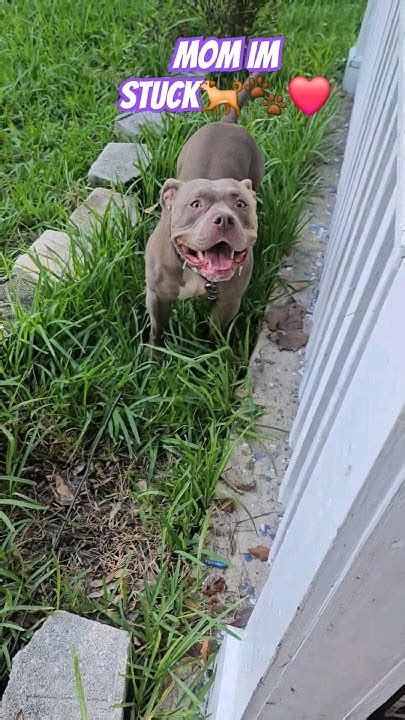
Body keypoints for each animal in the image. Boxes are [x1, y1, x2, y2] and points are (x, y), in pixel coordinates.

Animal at [144, 73, 264, 354]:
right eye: (196, 204)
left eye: (240, 204)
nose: (224, 219)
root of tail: (227, 122)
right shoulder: (157, 296)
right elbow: (157, 330)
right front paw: (153, 358)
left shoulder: (228, 302)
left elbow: (215, 333)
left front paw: (211, 355)